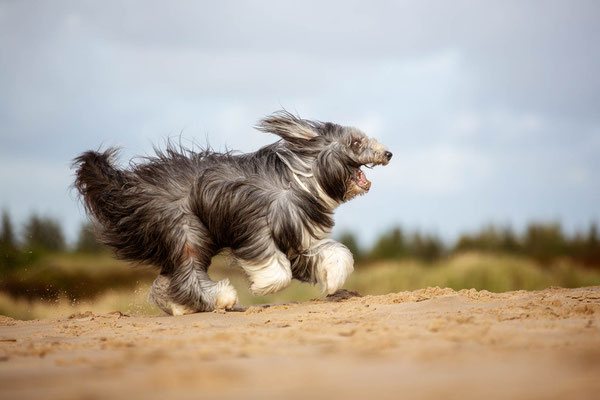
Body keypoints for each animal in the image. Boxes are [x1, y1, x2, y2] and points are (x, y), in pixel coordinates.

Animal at [72, 111, 392, 314]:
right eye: (355, 142)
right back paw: (221, 298)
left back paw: (178, 305)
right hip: (186, 230)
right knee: (187, 274)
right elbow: (278, 272)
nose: (388, 153)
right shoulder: (255, 230)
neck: (301, 178)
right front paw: (262, 286)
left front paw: (334, 279)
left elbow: (336, 254)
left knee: (167, 279)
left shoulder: (296, 238)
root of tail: (135, 186)